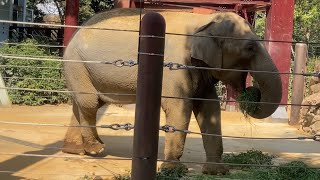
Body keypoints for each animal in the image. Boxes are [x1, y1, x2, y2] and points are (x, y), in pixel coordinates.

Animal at [61, 8, 282, 174]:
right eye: (250, 47)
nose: (252, 92)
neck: (203, 21)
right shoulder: (173, 66)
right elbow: (180, 107)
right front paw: (174, 170)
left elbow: (209, 108)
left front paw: (217, 172)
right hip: (76, 63)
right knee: (89, 102)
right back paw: (96, 148)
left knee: (85, 104)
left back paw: (77, 150)